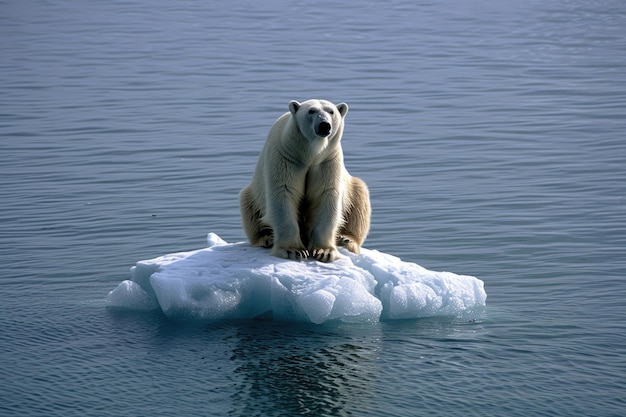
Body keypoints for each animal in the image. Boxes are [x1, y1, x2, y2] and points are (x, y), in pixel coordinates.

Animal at [238, 99, 366, 262]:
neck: (309, 154)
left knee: (360, 201)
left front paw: (324, 252)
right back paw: (266, 238)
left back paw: (346, 239)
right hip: (253, 194)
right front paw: (293, 250)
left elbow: (325, 195)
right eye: (311, 111)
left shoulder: (327, 160)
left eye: (331, 111)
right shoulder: (285, 157)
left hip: (352, 188)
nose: (324, 125)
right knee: (249, 207)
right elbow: (283, 193)